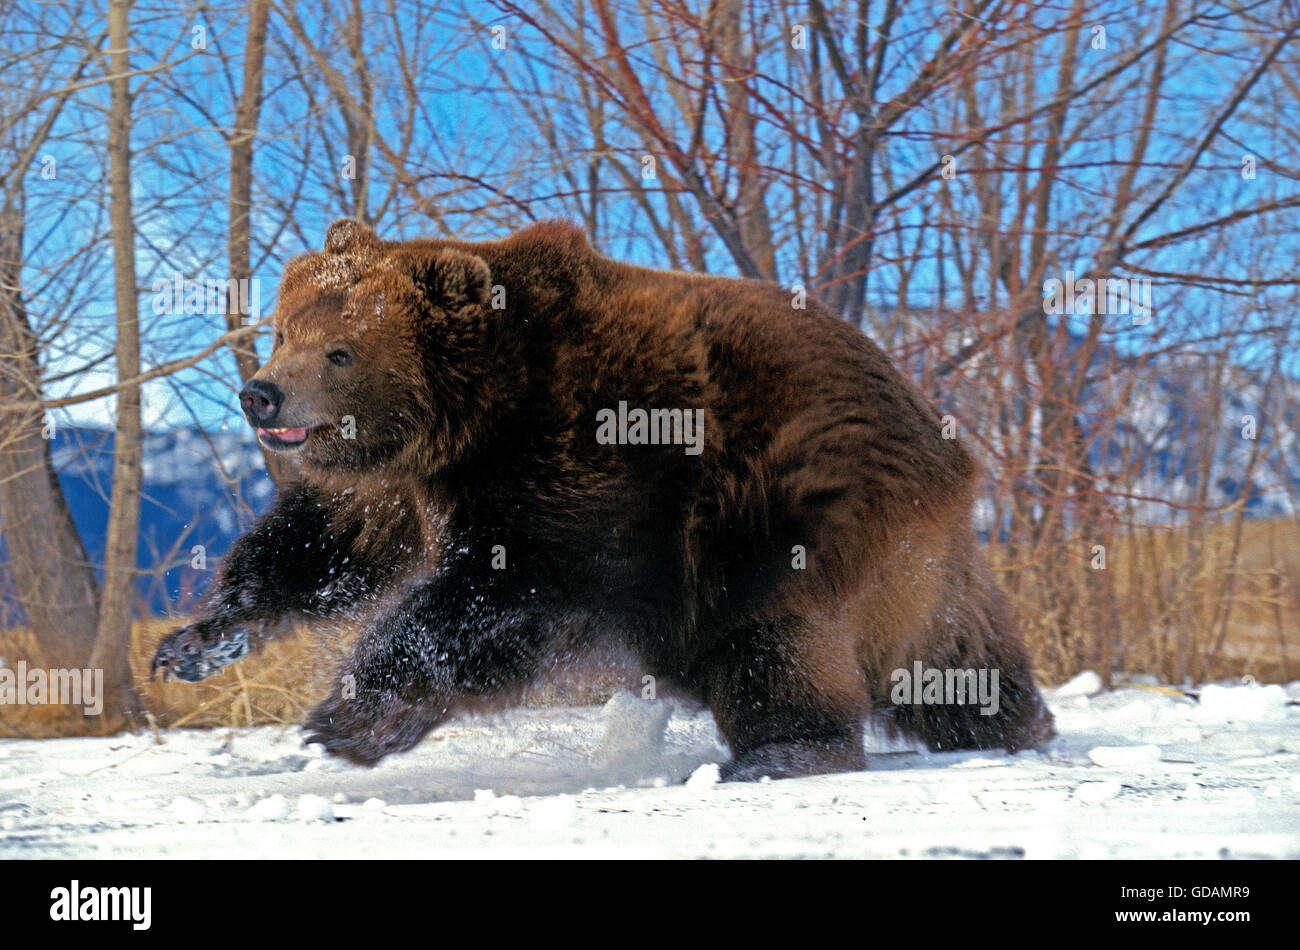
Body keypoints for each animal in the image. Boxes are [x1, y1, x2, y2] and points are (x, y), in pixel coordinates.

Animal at [151, 217, 1054, 781]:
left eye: (340, 350)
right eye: (284, 329)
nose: (261, 394)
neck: (467, 420)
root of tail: (946, 441)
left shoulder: (580, 461)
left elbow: (504, 595)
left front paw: (350, 712)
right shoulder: (396, 485)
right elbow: (322, 547)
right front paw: (198, 639)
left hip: (789, 499)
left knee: (775, 635)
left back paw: (779, 751)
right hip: (909, 561)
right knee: (952, 645)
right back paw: (1010, 719)